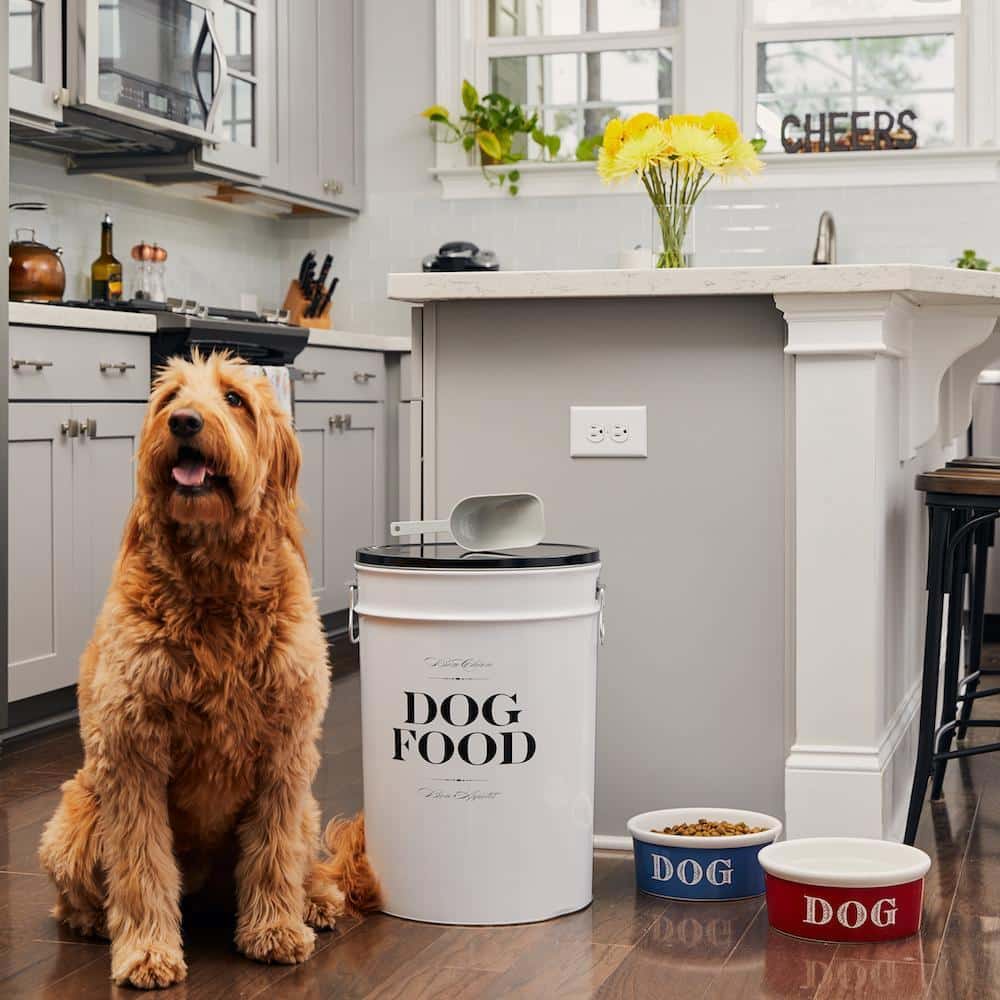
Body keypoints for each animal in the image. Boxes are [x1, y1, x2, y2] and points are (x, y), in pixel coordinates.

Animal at [37, 356, 376, 988]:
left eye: (235, 398)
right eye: (169, 396)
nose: (186, 422)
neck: (215, 586)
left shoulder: (285, 755)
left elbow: (272, 853)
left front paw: (275, 929)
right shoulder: (132, 756)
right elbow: (141, 866)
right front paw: (147, 951)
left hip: (307, 807)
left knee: (304, 860)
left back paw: (316, 900)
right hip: (72, 822)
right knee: (75, 895)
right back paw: (93, 921)